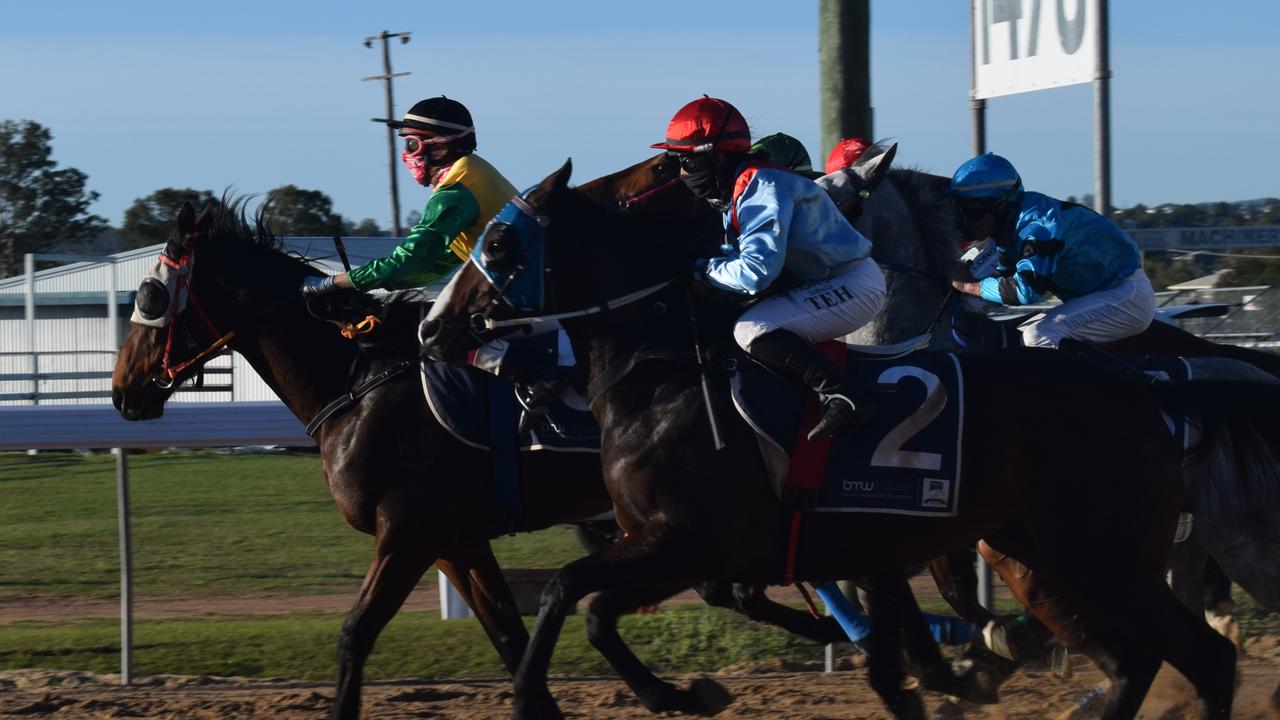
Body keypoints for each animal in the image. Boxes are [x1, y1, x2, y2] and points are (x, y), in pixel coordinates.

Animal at [422, 159, 1259, 712]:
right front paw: (676, 691)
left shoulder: (684, 542)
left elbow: (575, 596)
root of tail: (1150, 388)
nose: (431, 326)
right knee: (1135, 661)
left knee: (1202, 655)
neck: (660, 376)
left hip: (1103, 557)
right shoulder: (697, 548)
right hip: (1045, 559)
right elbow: (584, 600)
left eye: (498, 246)